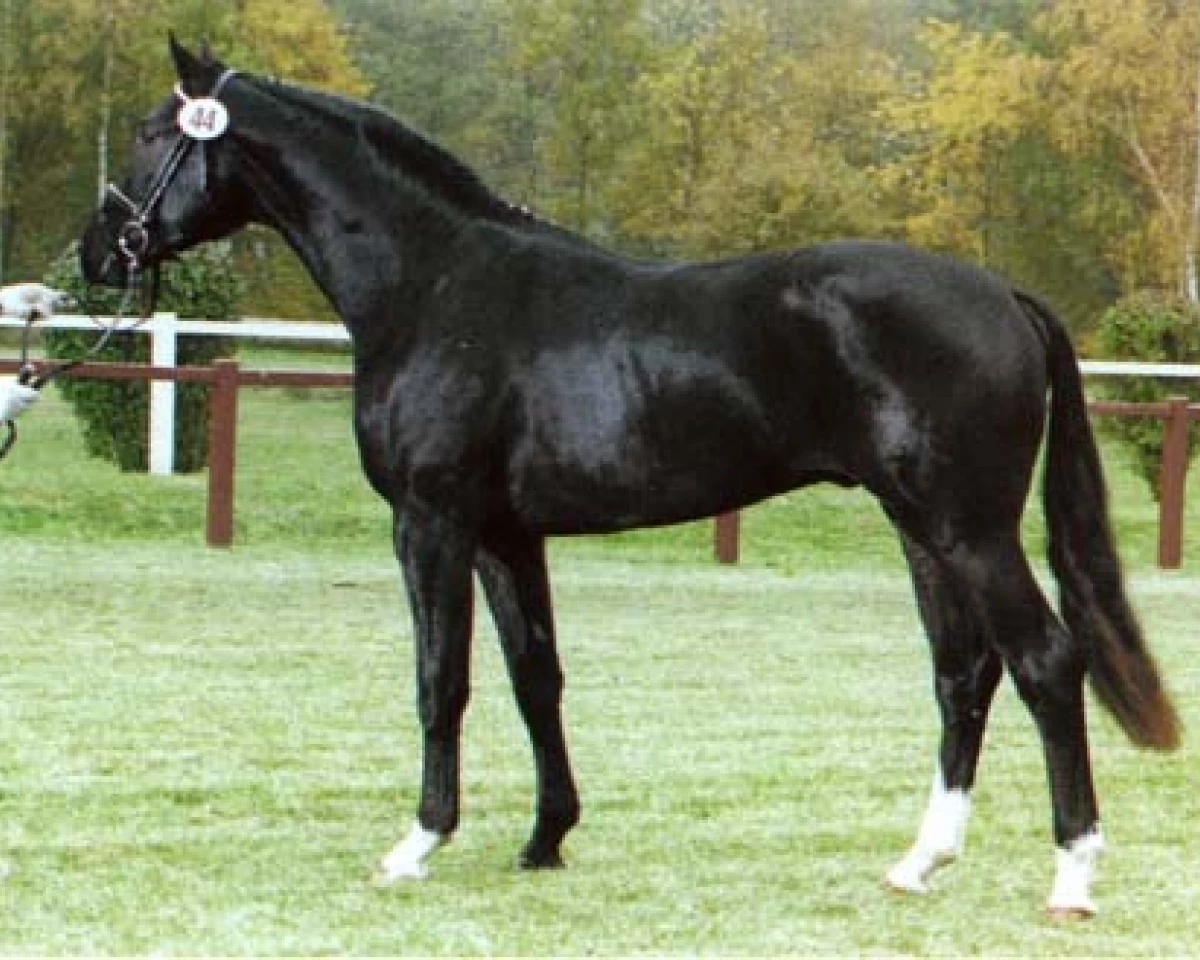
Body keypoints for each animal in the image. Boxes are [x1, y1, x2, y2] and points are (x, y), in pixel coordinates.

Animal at [79, 39, 1180, 917]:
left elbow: (442, 681)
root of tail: (1003, 294)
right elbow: (536, 678)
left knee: (1044, 662)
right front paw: (544, 840)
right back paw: (920, 863)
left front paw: (416, 845)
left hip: (969, 530)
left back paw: (1073, 876)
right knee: (964, 673)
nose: (98, 251)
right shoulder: (504, 534)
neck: (437, 287)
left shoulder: (430, 522)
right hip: (921, 529)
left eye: (150, 133)